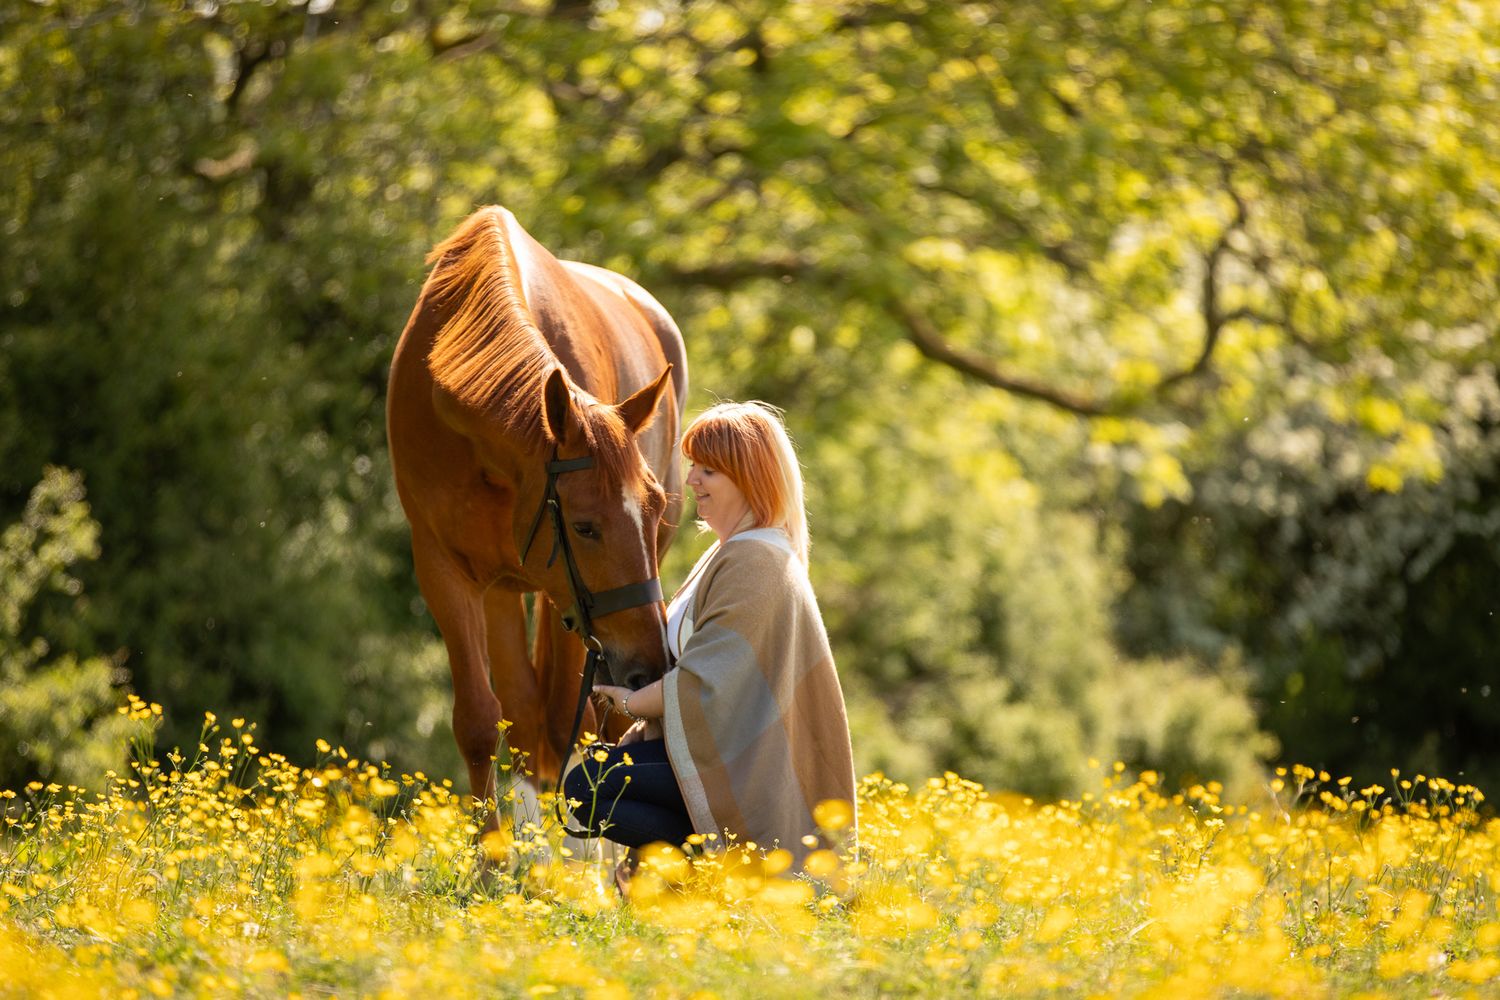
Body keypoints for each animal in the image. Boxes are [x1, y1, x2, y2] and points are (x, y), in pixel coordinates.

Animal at [386, 205, 687, 823]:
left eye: (652, 513)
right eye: (584, 526)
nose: (652, 663)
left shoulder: (573, 606)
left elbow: (582, 723)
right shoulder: (444, 569)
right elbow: (480, 721)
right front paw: (493, 850)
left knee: (602, 721)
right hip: (514, 591)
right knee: (527, 715)